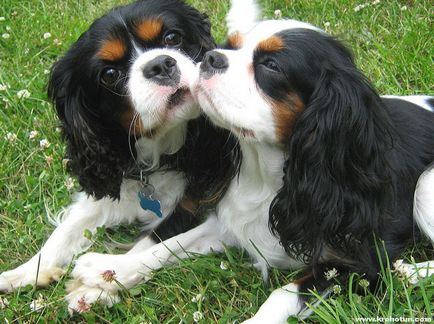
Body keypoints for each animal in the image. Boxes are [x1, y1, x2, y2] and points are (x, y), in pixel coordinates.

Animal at [0, 0, 241, 310]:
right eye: (110, 75)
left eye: (173, 38)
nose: (159, 64)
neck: (157, 148)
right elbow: (64, 231)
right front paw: (26, 271)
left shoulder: (195, 200)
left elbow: (148, 244)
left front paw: (95, 287)